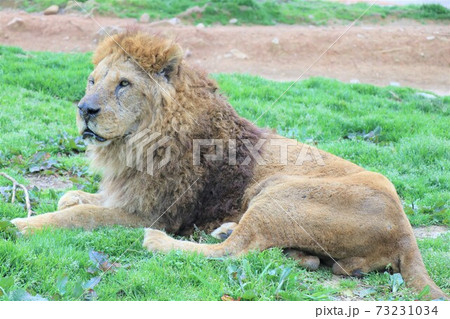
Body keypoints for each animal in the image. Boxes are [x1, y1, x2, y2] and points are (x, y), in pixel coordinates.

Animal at [12, 31, 448, 300]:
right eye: (91, 81)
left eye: (123, 84)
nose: (85, 110)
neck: (134, 142)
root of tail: (406, 230)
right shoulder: (126, 194)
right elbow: (74, 199)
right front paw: (69, 198)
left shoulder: (150, 214)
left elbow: (79, 215)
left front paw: (22, 225)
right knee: (284, 254)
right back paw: (234, 231)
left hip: (278, 194)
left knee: (234, 251)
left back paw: (165, 242)